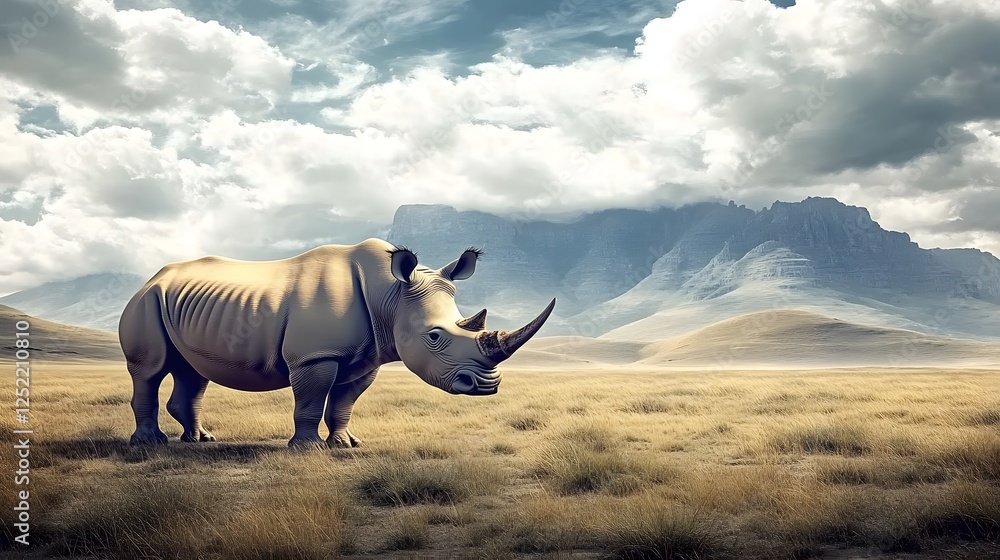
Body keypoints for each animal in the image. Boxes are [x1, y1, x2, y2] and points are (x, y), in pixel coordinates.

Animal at [118, 238, 555, 448]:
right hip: (145, 302)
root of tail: (151, 277)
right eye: (434, 337)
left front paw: (346, 444)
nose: (487, 387)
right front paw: (307, 449)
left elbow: (344, 402)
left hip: (181, 306)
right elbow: (311, 401)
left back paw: (200, 440)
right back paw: (150, 444)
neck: (391, 295)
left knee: (193, 372)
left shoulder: (367, 357)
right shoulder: (314, 356)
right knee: (149, 371)